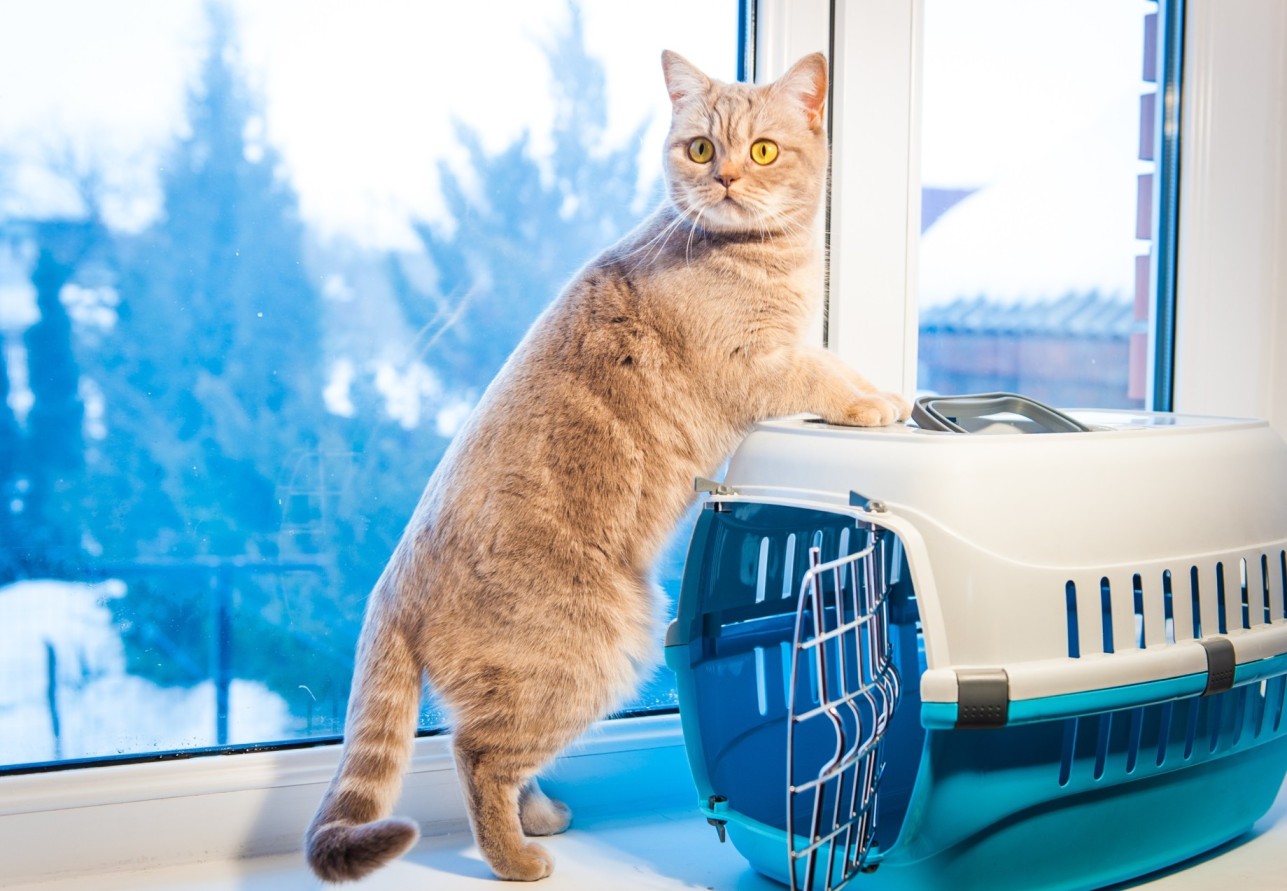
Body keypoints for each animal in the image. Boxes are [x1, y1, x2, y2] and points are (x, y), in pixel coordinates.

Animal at [303, 50, 906, 885]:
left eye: (760, 150)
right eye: (699, 148)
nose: (723, 179)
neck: (763, 254)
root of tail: (392, 582)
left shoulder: (783, 348)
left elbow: (834, 363)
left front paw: (887, 393)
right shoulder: (755, 366)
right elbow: (824, 376)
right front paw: (875, 402)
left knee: (489, 751)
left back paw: (538, 818)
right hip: (591, 657)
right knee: (476, 755)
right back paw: (517, 856)